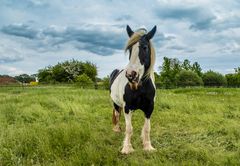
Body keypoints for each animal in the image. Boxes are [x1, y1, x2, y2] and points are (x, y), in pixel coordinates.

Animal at [109, 25, 157, 154]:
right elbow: (129, 128)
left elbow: (147, 128)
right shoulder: (127, 107)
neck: (141, 87)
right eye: (130, 49)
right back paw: (116, 129)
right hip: (116, 103)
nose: (131, 75)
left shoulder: (149, 108)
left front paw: (148, 146)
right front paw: (127, 148)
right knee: (117, 115)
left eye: (145, 47)